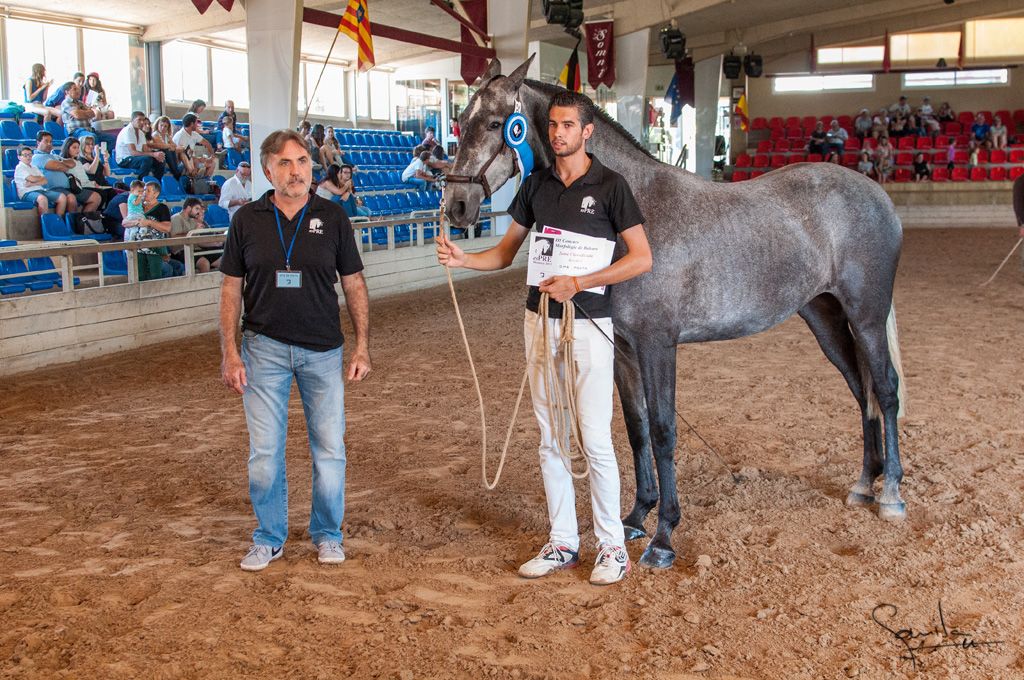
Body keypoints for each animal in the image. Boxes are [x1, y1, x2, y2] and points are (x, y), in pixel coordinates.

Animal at [444, 57, 909, 569]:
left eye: (495, 124)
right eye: (460, 122)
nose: (456, 207)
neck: (636, 212)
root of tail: (876, 193)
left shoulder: (658, 344)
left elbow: (664, 431)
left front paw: (664, 535)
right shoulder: (623, 349)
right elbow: (636, 429)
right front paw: (635, 516)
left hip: (867, 315)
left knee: (886, 389)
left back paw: (891, 495)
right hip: (825, 319)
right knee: (861, 390)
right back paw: (865, 484)